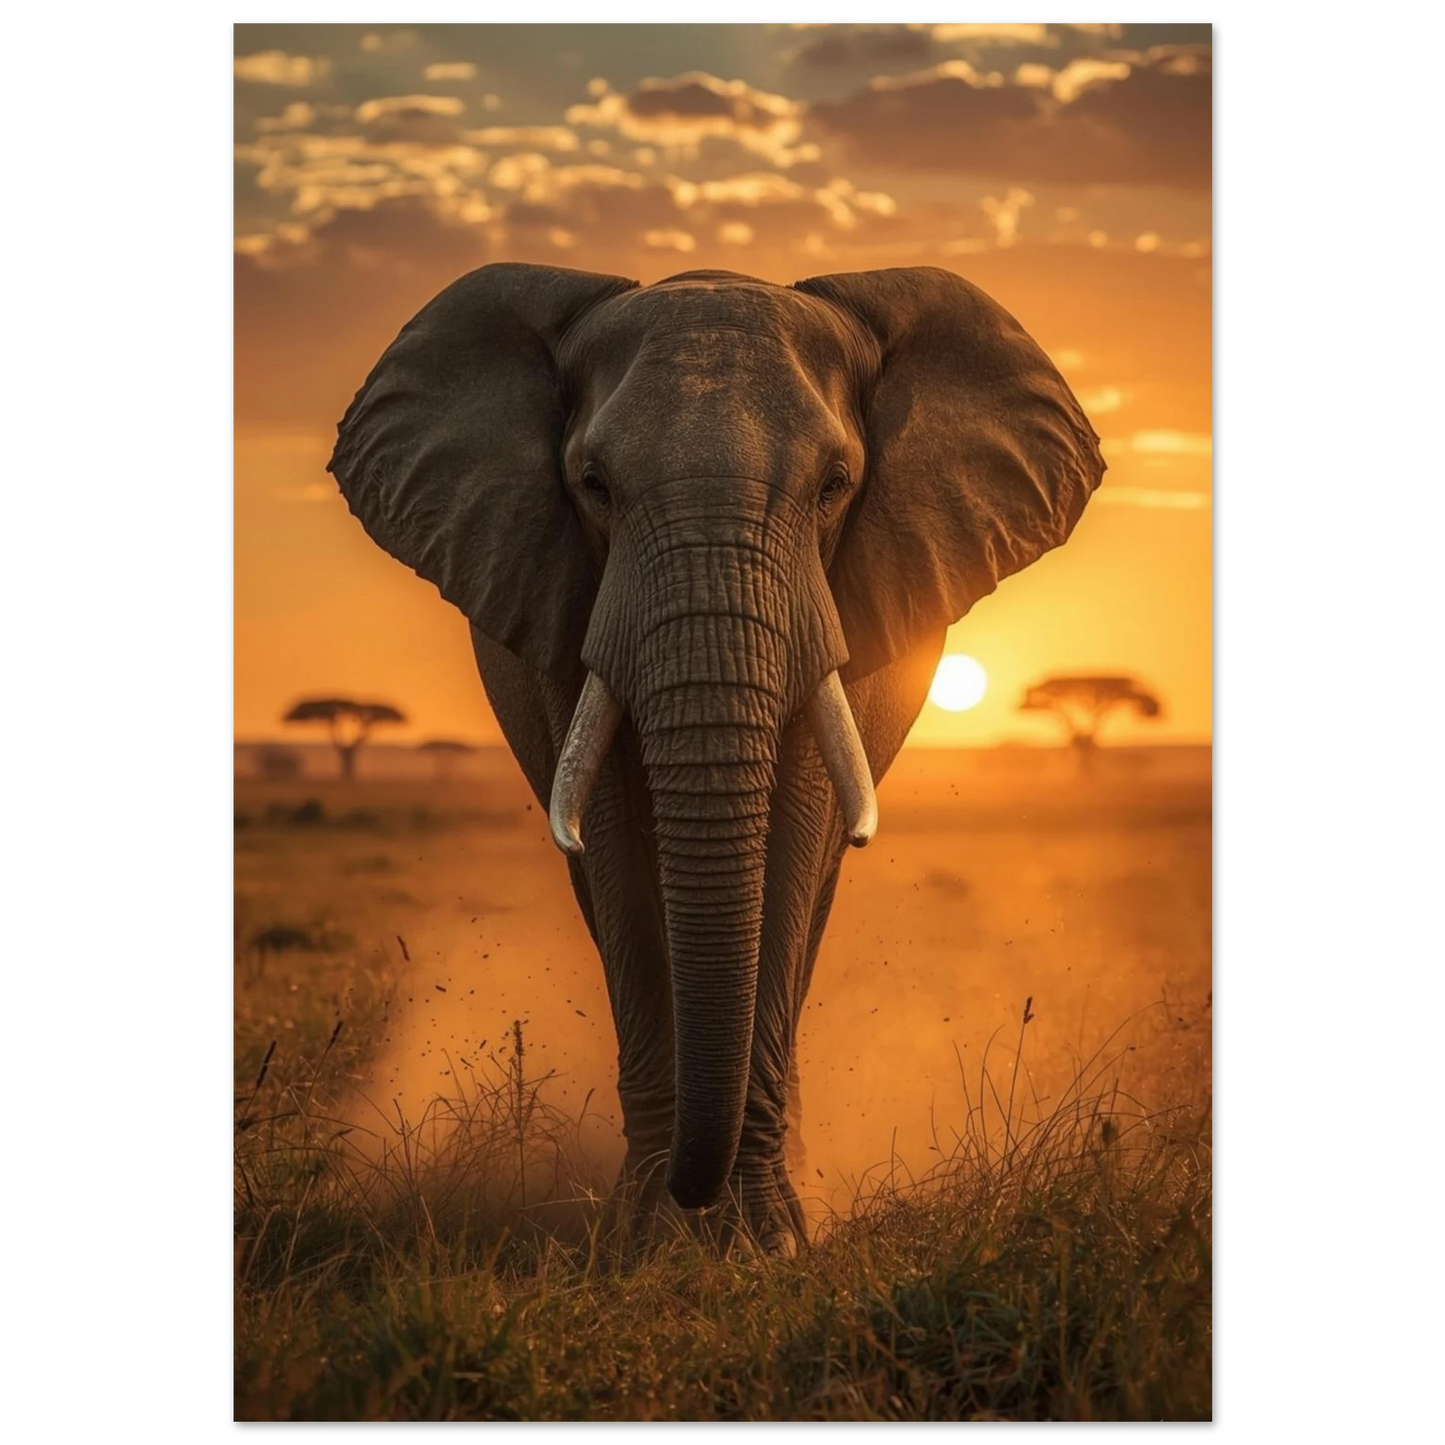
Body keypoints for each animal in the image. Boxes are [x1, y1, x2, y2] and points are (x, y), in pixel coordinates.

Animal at [327, 263, 1105, 1255]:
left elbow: (793, 841)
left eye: (835, 484)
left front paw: (767, 1243)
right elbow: (618, 856)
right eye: (593, 485)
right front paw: (646, 1243)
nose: (695, 1197)